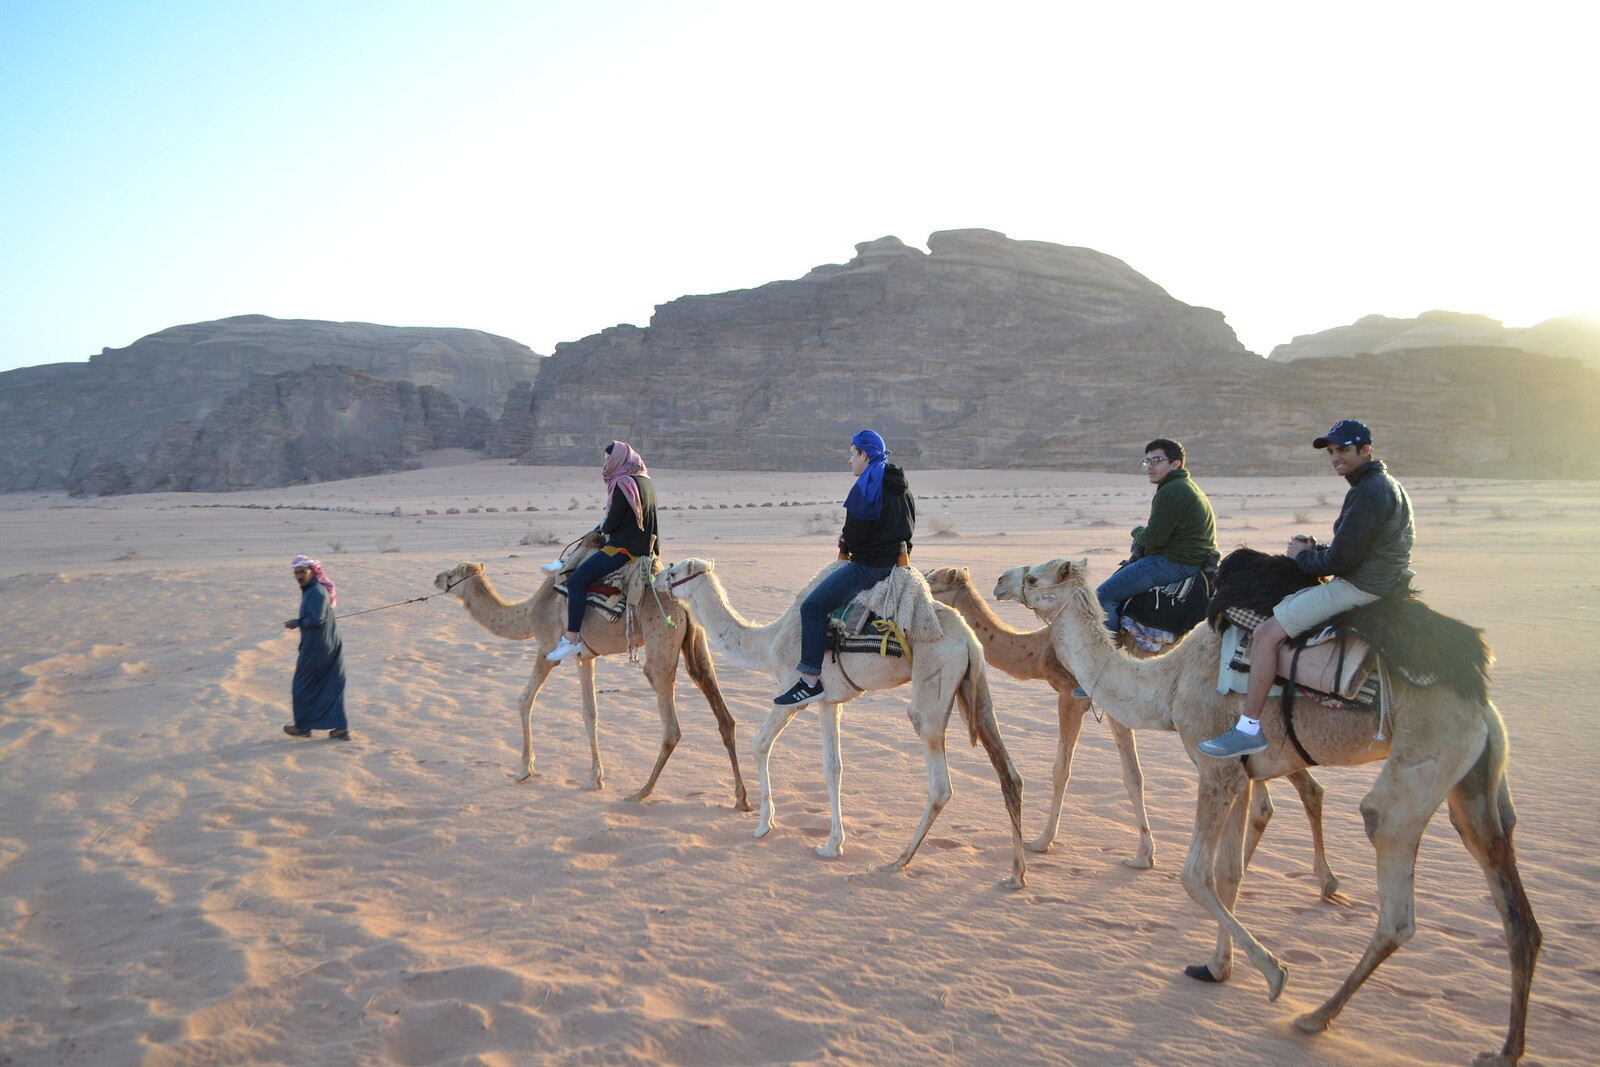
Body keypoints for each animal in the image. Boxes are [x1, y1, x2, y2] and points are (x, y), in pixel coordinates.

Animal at [425, 559, 748, 809]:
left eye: (453, 574)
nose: (437, 578)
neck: (528, 613)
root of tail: (681, 601)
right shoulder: (585, 656)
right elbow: (590, 713)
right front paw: (594, 777)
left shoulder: (548, 650)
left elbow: (526, 699)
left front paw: (525, 769)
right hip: (696, 642)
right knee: (721, 710)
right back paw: (741, 799)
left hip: (660, 647)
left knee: (671, 725)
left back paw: (641, 792)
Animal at [934, 563, 1337, 895]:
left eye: (934, 580)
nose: (1000, 582)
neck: (1037, 649)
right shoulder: (1116, 708)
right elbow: (1133, 776)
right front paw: (1145, 853)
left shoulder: (1073, 695)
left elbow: (1064, 770)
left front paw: (1042, 840)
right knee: (1294, 792)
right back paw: (1308, 880)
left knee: (1286, 793)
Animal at [1004, 559, 1542, 1067]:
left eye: (1034, 578)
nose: (1001, 580)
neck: (1169, 682)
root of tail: (1481, 705)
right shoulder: (1242, 776)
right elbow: (1228, 874)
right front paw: (1216, 968)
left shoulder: (1216, 767)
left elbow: (1195, 875)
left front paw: (1274, 973)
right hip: (1472, 785)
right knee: (1514, 908)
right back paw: (1505, 1049)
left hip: (1423, 765)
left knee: (1393, 896)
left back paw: (1315, 1015)